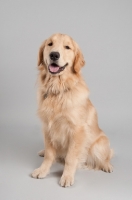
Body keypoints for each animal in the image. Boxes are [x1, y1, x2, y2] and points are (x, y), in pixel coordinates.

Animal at [31, 33, 113, 188]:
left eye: (67, 47)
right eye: (50, 44)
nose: (54, 55)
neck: (57, 89)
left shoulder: (77, 130)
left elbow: (70, 158)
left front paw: (67, 177)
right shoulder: (48, 128)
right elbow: (50, 154)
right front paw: (43, 170)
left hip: (100, 144)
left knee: (105, 156)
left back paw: (107, 166)